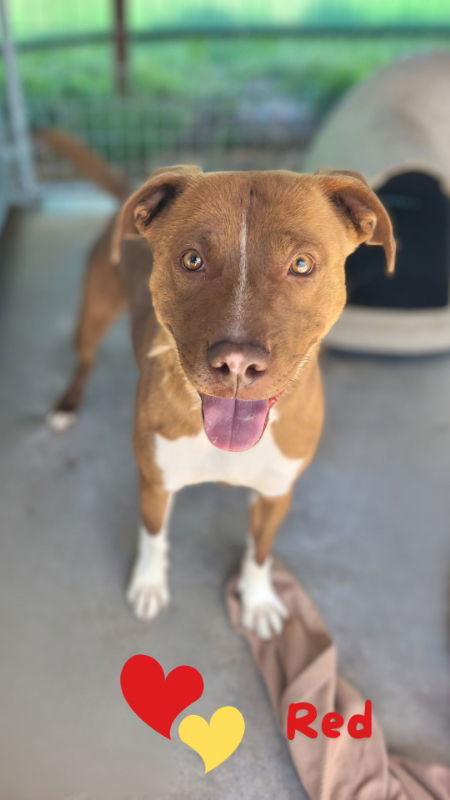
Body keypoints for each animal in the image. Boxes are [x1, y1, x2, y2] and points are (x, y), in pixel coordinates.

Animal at [47, 145, 396, 644]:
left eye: (302, 264)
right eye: (192, 259)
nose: (236, 363)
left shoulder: (276, 493)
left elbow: (259, 553)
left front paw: (259, 601)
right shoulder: (155, 481)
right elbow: (153, 537)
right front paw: (148, 584)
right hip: (93, 313)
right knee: (85, 358)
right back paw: (66, 405)